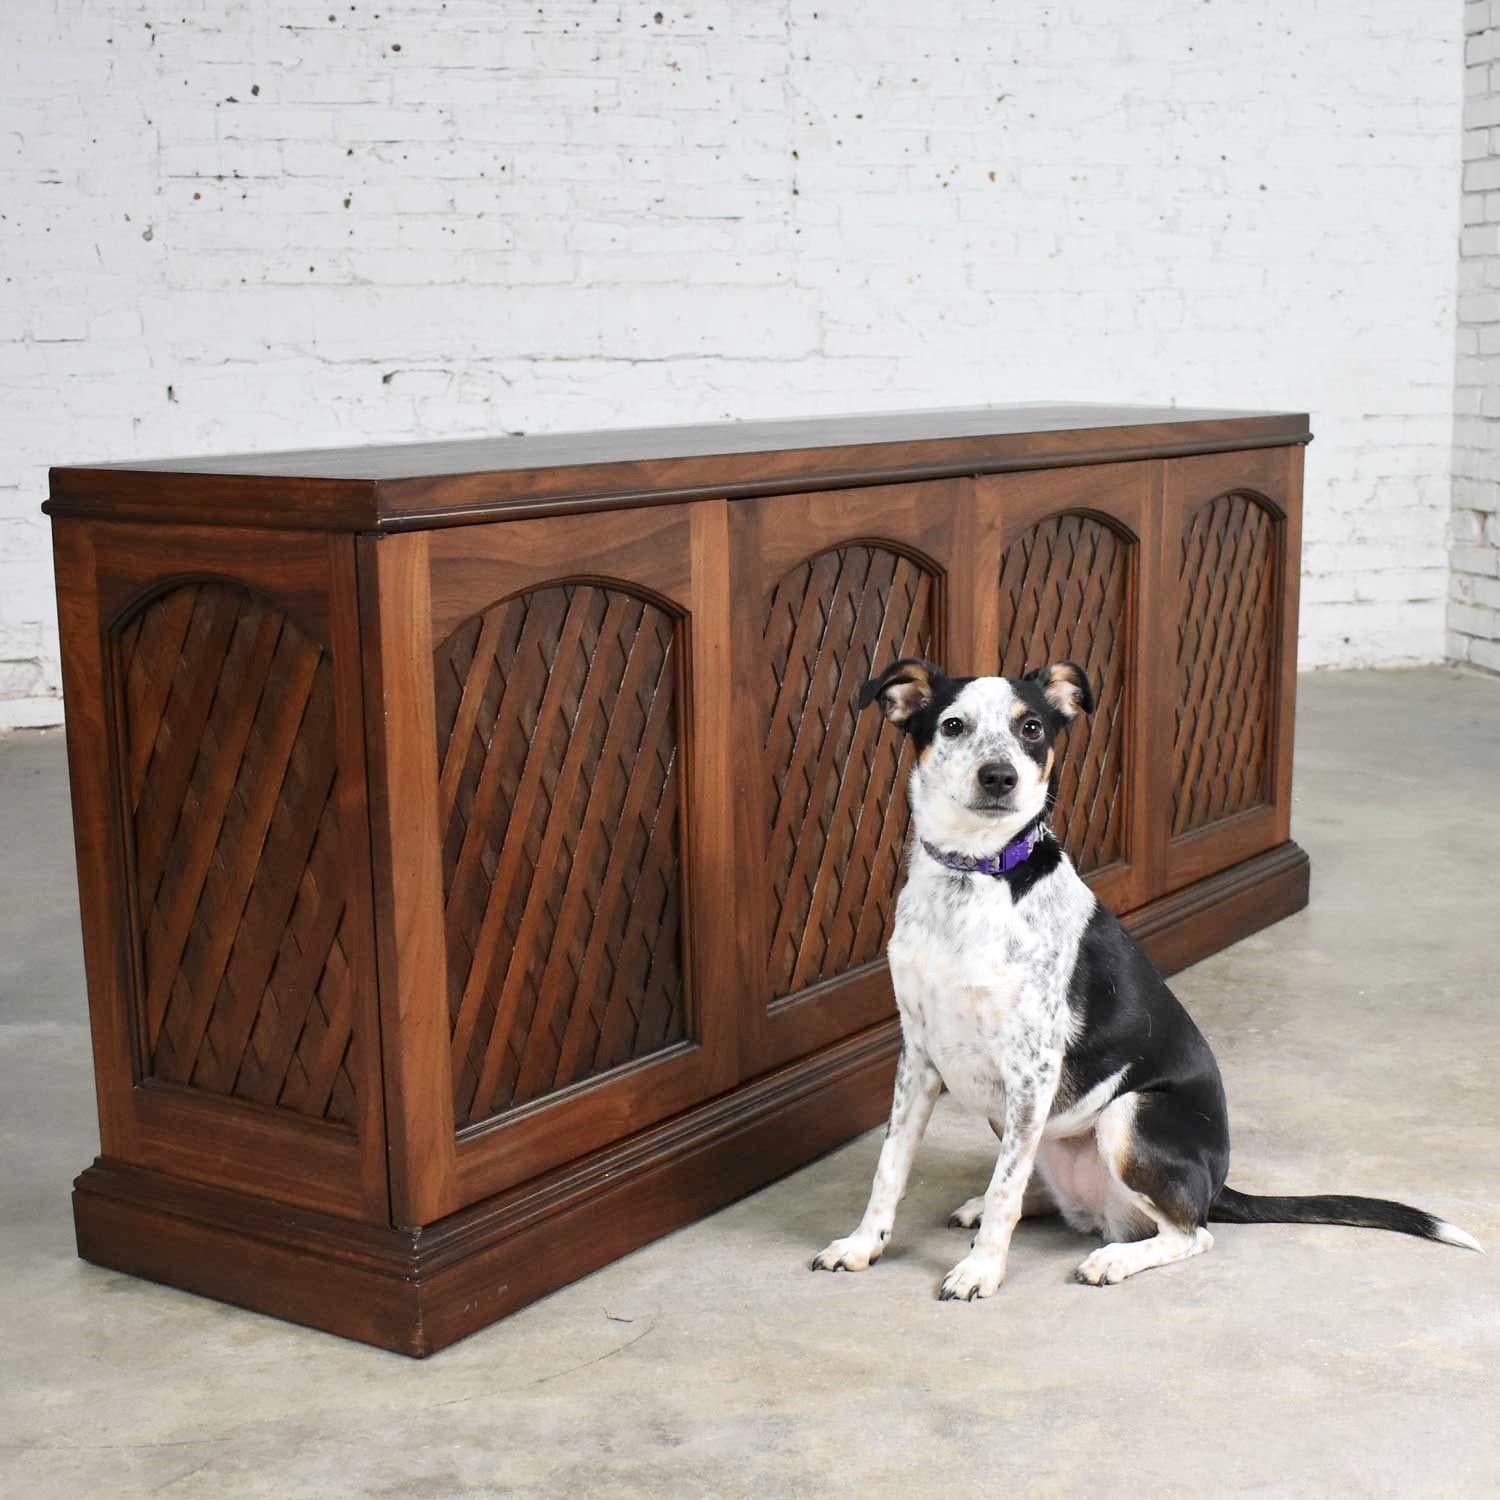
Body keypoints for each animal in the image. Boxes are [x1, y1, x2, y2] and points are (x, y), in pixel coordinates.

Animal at [810, 660, 1476, 1302]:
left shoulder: (1033, 1069)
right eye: (952, 725)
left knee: (1188, 1232)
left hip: (1125, 1114)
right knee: (1039, 1186)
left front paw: (981, 1272)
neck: (975, 877)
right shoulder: (919, 1056)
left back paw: (1112, 1259)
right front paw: (863, 1245)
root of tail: (1216, 1186)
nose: (1000, 777)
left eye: (1032, 728)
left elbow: (1004, 1189)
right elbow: (893, 1167)